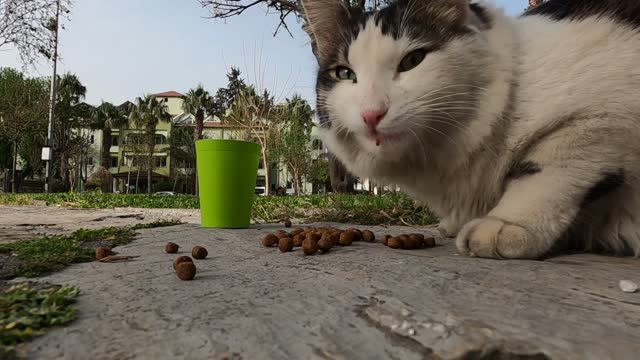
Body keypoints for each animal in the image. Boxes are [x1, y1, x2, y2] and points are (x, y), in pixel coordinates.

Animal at [302, 0, 640, 258]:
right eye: (345, 73)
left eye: (413, 60)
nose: (372, 113)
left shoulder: (605, 112)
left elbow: (548, 168)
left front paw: (506, 223)